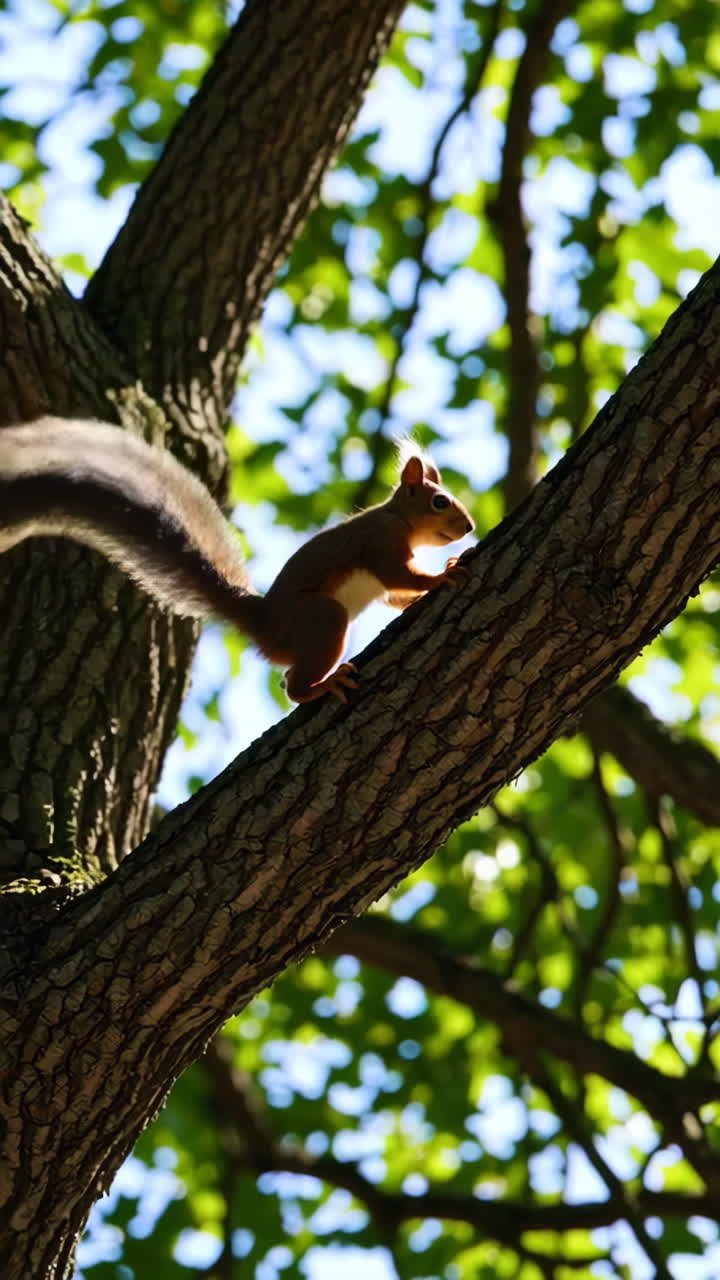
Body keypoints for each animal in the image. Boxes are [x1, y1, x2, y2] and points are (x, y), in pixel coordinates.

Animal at [0, 418, 474, 702]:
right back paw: (320, 686)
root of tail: (264, 624)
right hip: (320, 617)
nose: (469, 527)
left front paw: (431, 582)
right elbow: (396, 575)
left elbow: (394, 594)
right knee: (292, 683)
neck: (399, 518)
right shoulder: (380, 542)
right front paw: (441, 577)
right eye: (439, 501)